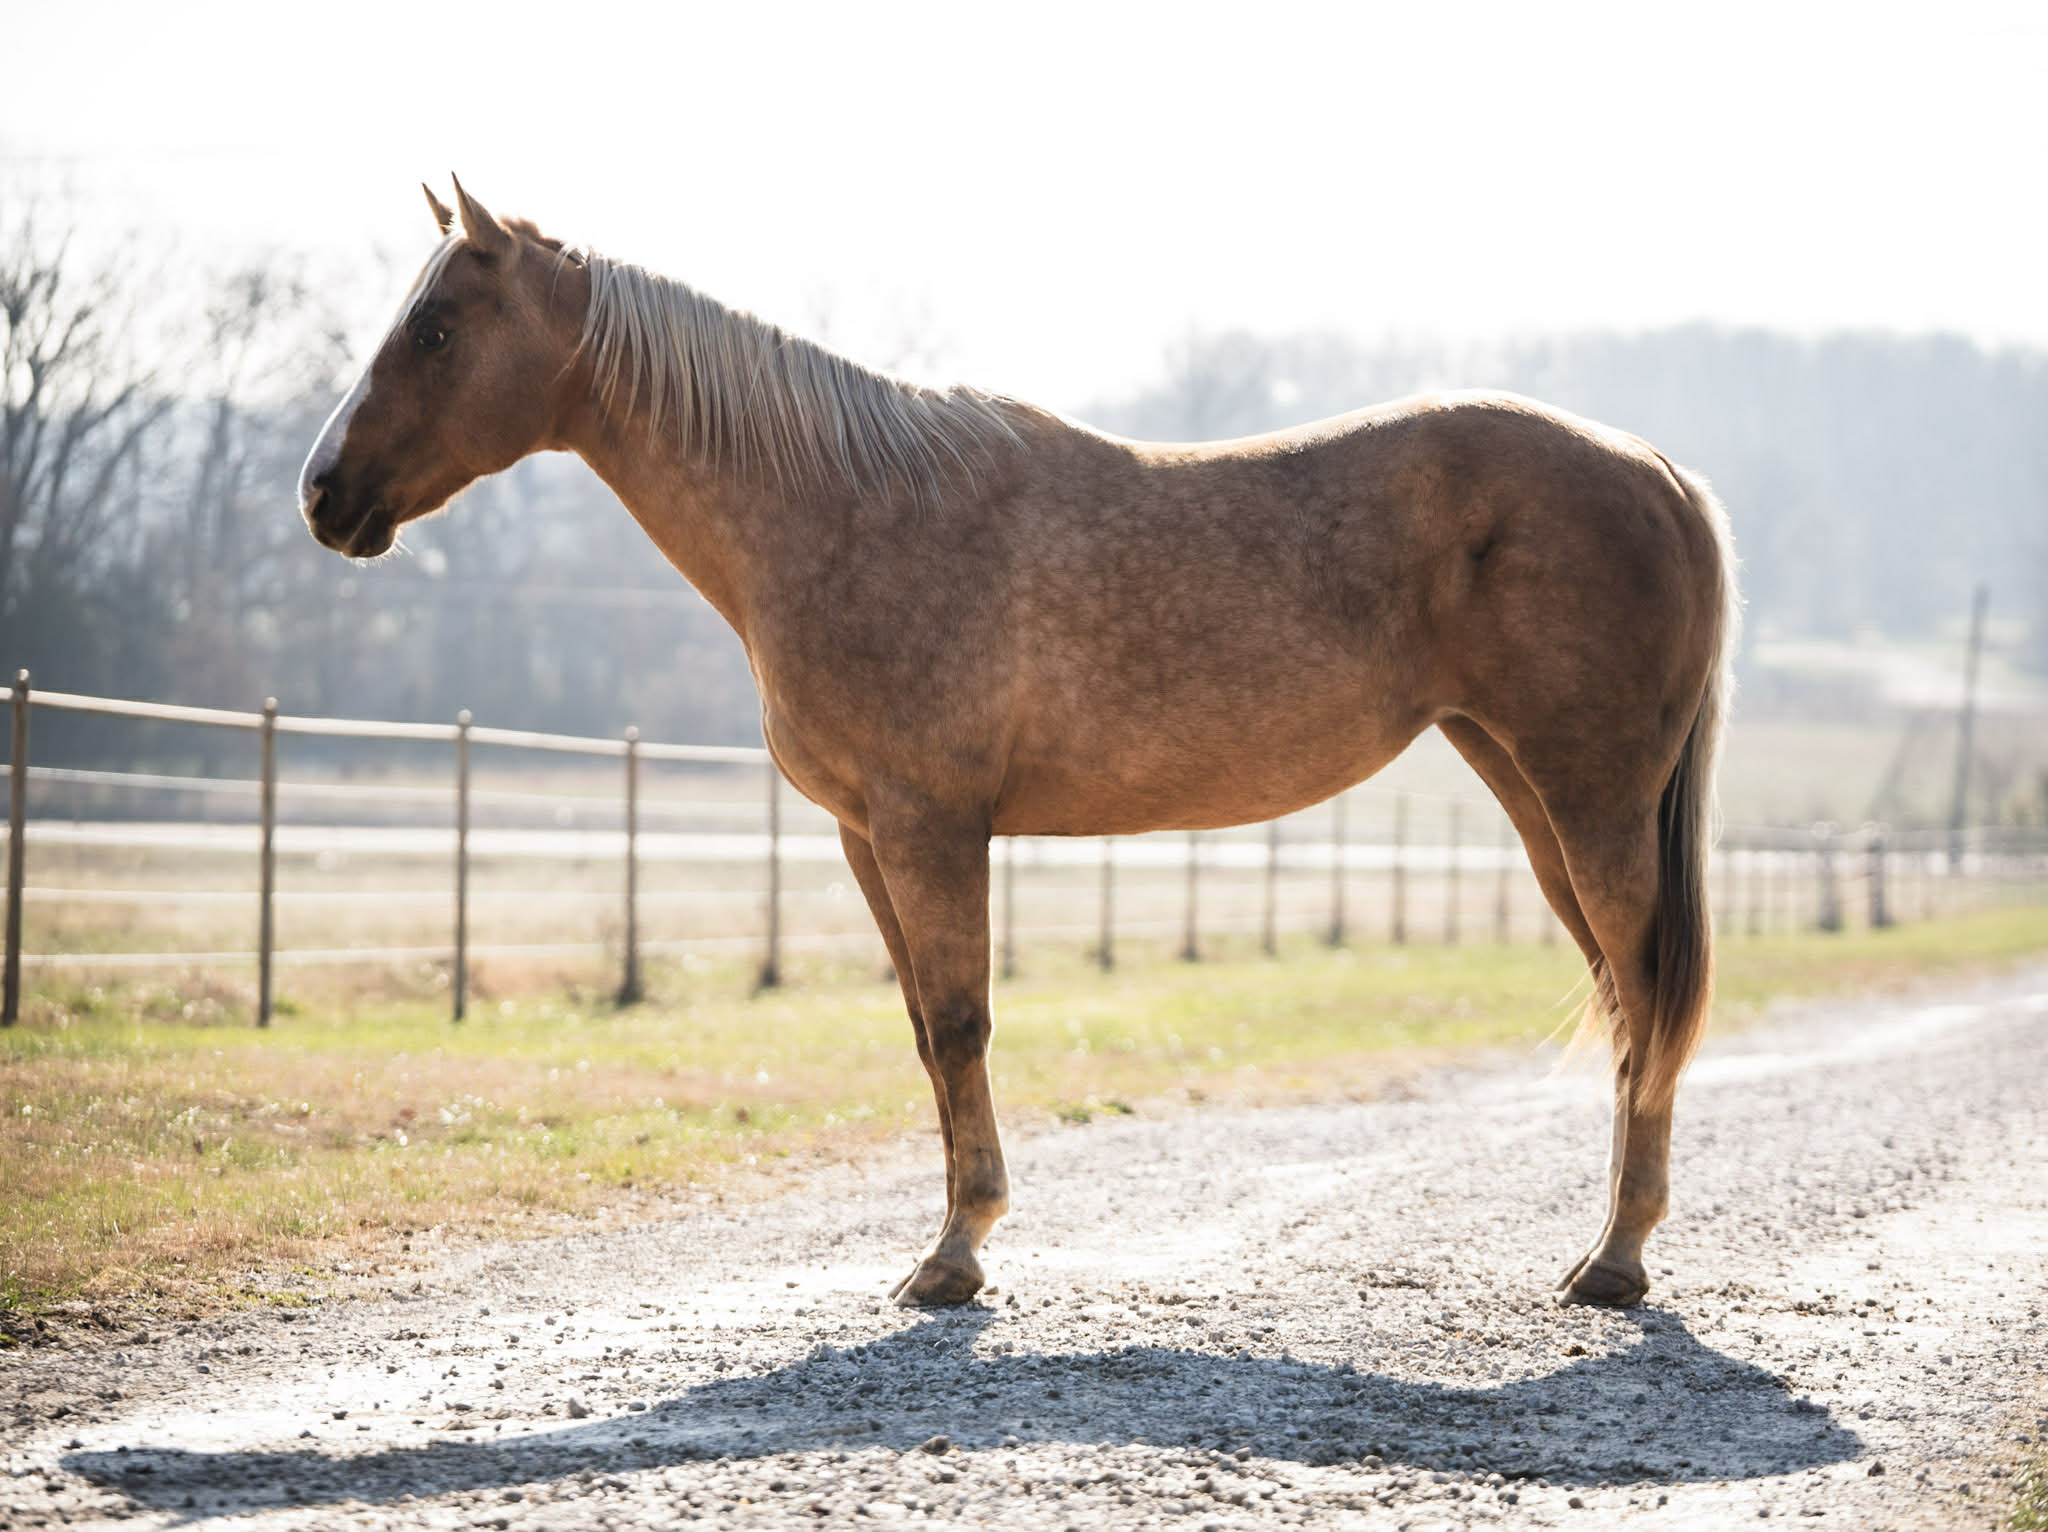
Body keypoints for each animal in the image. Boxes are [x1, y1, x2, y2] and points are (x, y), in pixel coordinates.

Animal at [299, 180, 1738, 1310]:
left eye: (434, 327)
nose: (322, 494)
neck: (844, 507)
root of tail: (1658, 471)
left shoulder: (932, 826)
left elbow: (961, 1022)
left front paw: (956, 1251)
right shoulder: (867, 835)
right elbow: (927, 1031)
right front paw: (955, 1240)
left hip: (1589, 803)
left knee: (1643, 989)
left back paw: (1614, 1261)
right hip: (1531, 796)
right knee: (1626, 999)